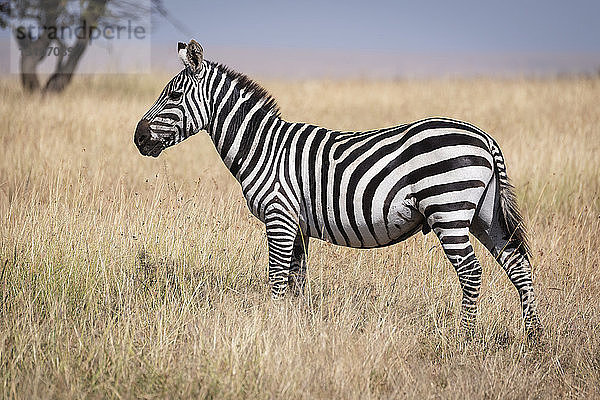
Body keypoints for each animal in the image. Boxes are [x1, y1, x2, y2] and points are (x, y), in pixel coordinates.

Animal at [135, 39, 544, 336]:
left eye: (173, 96)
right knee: (518, 266)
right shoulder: (297, 224)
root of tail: (484, 137)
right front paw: (294, 327)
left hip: (449, 209)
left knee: (471, 272)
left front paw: (274, 329)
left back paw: (465, 339)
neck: (262, 147)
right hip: (485, 215)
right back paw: (534, 339)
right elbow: (296, 281)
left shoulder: (279, 217)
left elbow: (277, 280)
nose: (137, 138)